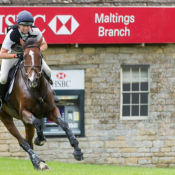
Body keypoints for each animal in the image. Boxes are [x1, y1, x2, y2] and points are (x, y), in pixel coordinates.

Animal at [0, 37, 84, 170]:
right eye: (24, 57)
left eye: (40, 56)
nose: (33, 80)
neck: (36, 89)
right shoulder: (24, 112)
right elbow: (38, 122)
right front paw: (40, 139)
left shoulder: (51, 111)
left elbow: (65, 124)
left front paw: (77, 150)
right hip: (5, 117)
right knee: (23, 141)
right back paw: (39, 161)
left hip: (25, 123)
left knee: (28, 140)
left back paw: (37, 164)